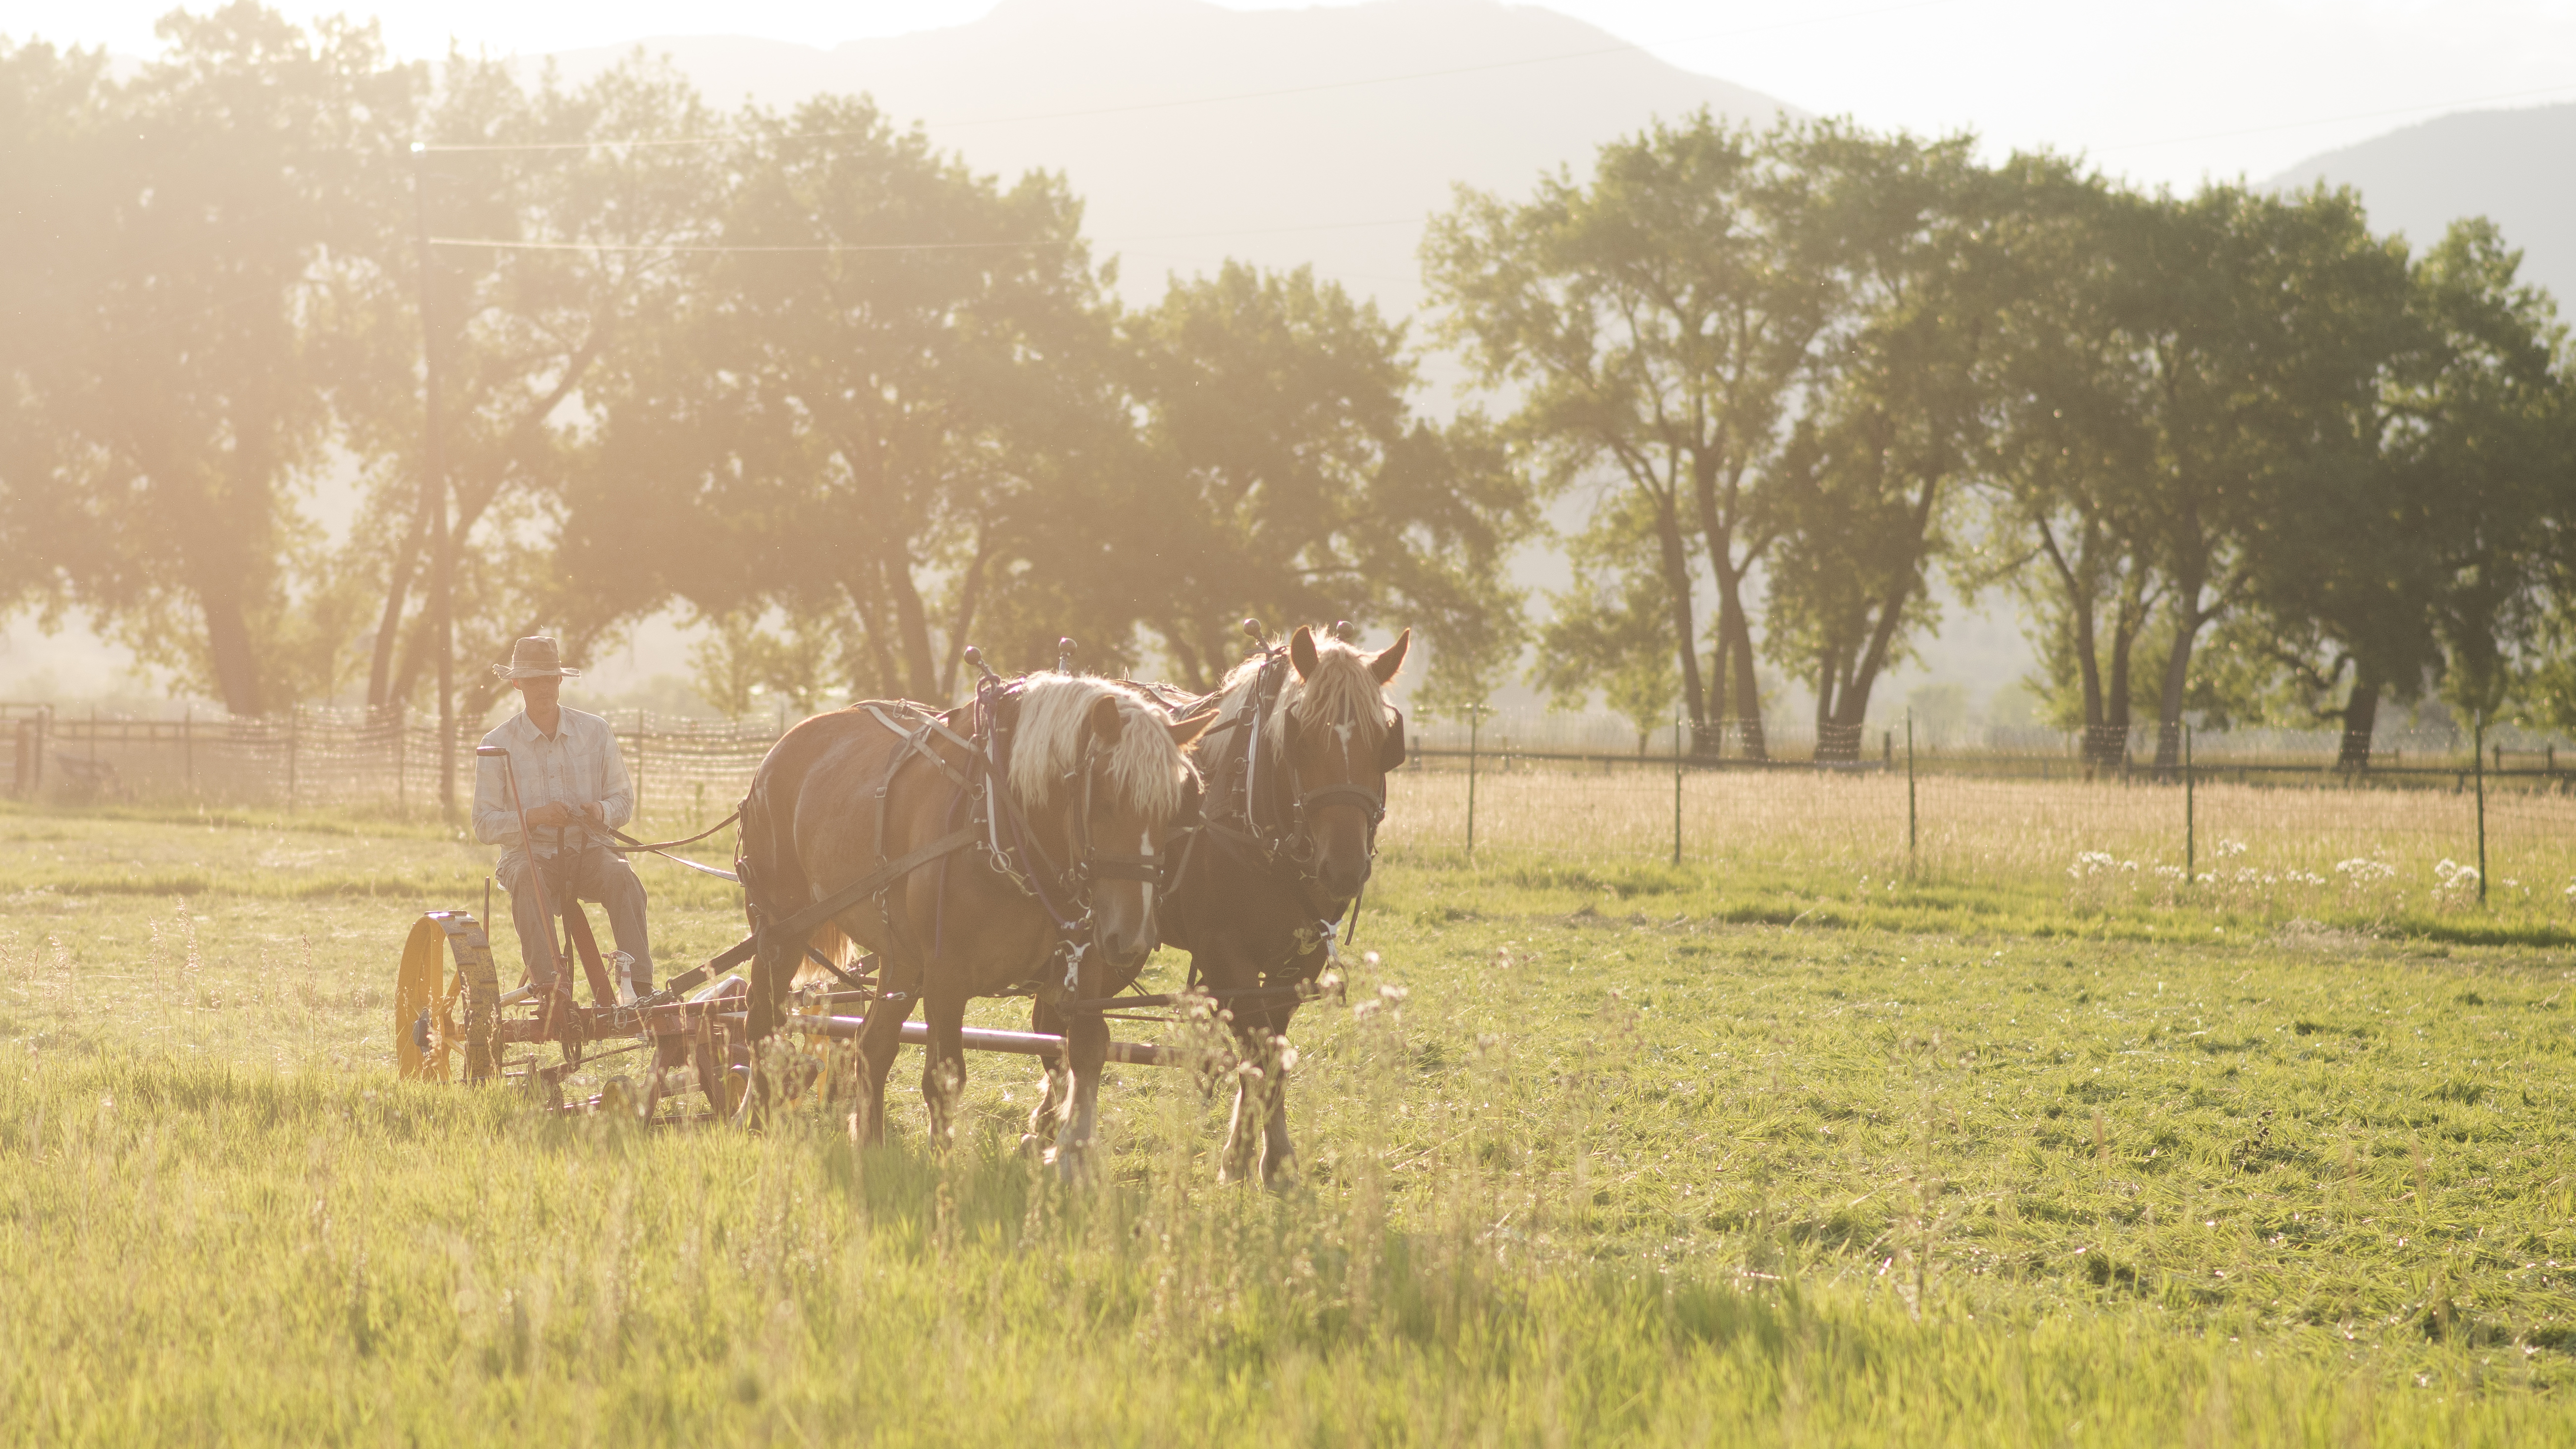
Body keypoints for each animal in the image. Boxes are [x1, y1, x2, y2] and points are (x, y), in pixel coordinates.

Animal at [726, 670, 1205, 1155]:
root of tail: (777, 754)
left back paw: (871, 1144)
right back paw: (756, 1119)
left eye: (1176, 806)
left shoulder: (1084, 965)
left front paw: (1071, 1151)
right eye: (1104, 798)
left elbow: (1088, 1049)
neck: (1002, 820)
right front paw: (943, 1163)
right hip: (780, 930)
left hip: (901, 958)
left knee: (872, 1042)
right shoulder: (946, 976)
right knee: (763, 1021)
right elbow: (945, 1077)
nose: (1132, 937)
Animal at [1025, 623, 1411, 1186]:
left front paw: (1249, 1151)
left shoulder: (1299, 962)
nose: (1342, 868)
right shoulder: (1224, 954)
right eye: (1301, 738)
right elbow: (1258, 1050)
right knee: (1061, 1022)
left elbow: (1269, 1052)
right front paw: (1270, 1157)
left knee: (1056, 1015)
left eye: (1383, 742)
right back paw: (1052, 1126)